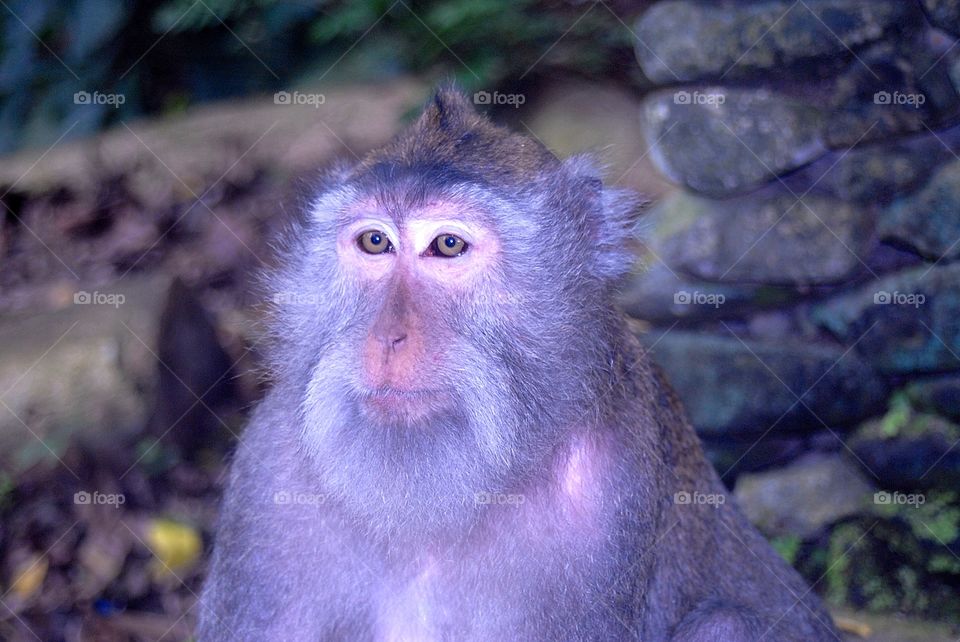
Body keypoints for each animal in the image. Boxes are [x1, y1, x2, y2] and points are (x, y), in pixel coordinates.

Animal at [197, 89, 840, 640]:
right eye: (375, 242)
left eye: (448, 245)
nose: (387, 339)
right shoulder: (269, 467)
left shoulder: (606, 495)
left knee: (726, 624)